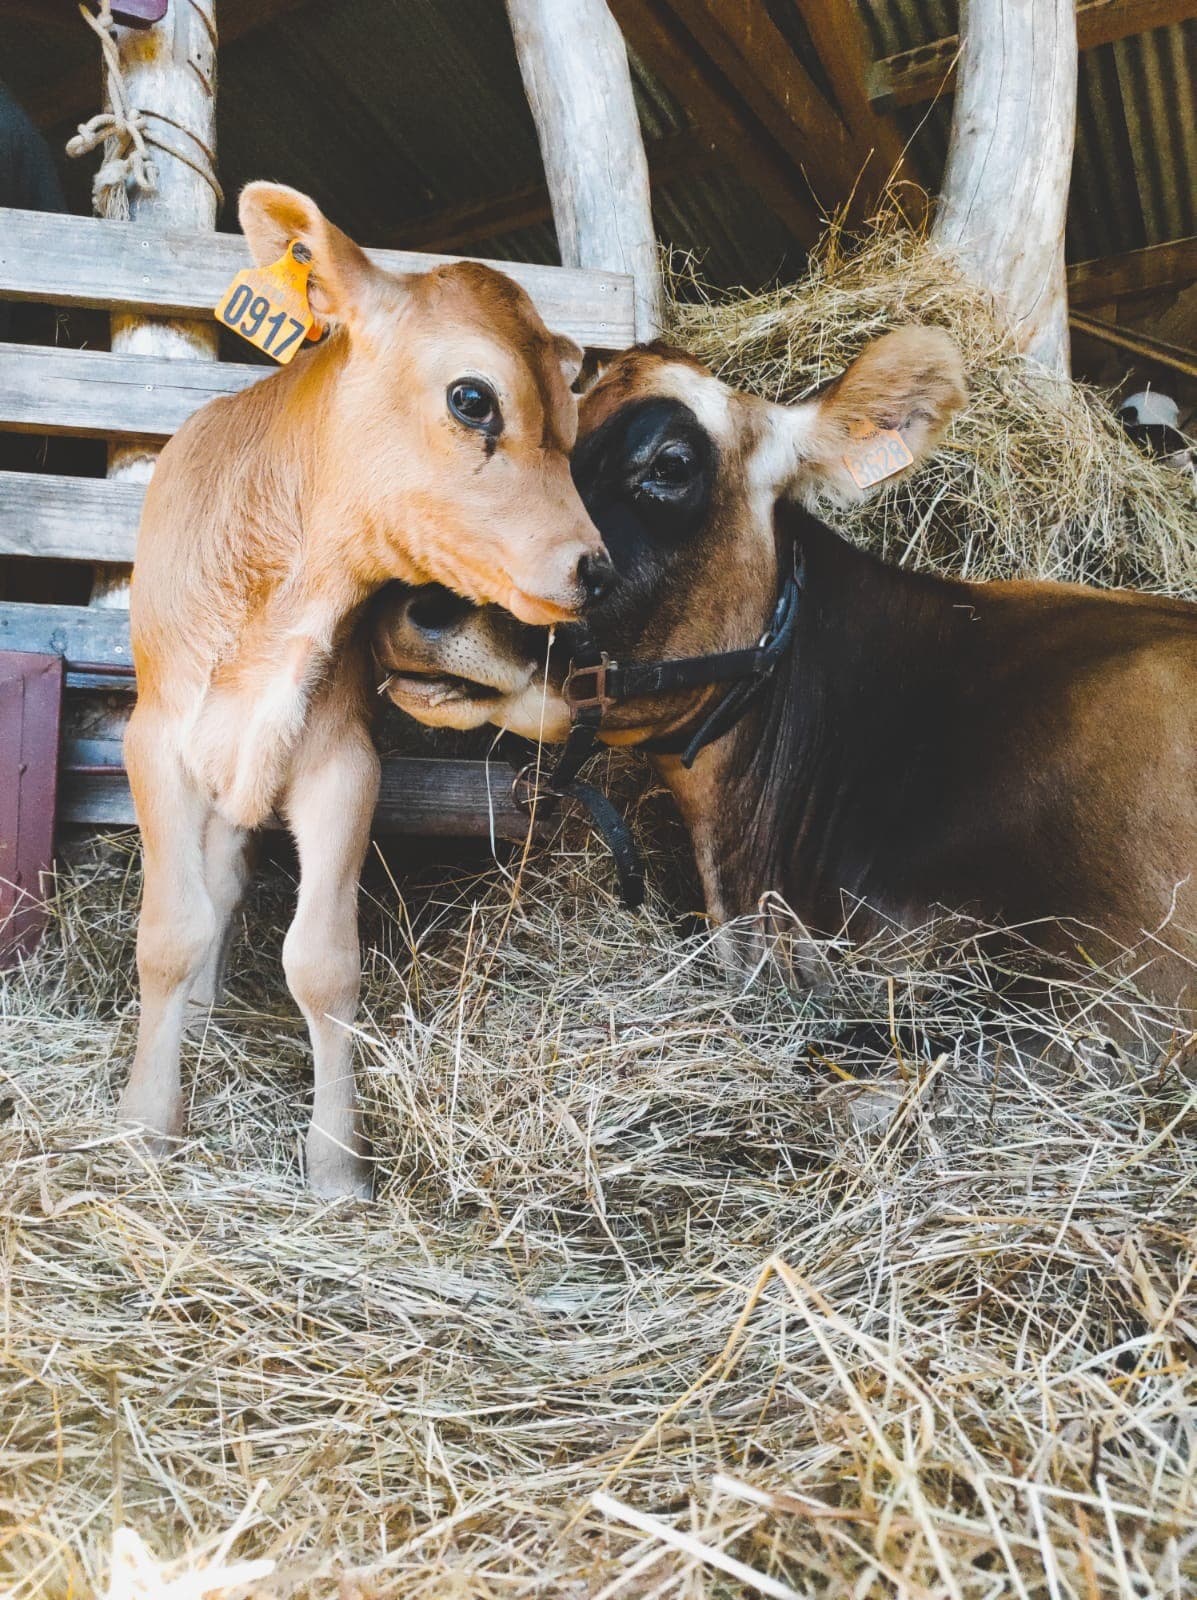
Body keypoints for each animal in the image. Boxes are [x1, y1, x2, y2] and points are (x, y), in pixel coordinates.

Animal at [120, 183, 614, 1197]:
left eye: (572, 428)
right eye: (472, 398)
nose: (595, 569)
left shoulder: (344, 761)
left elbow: (323, 962)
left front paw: (337, 1163)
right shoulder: (155, 741)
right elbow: (169, 933)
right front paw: (147, 1125)